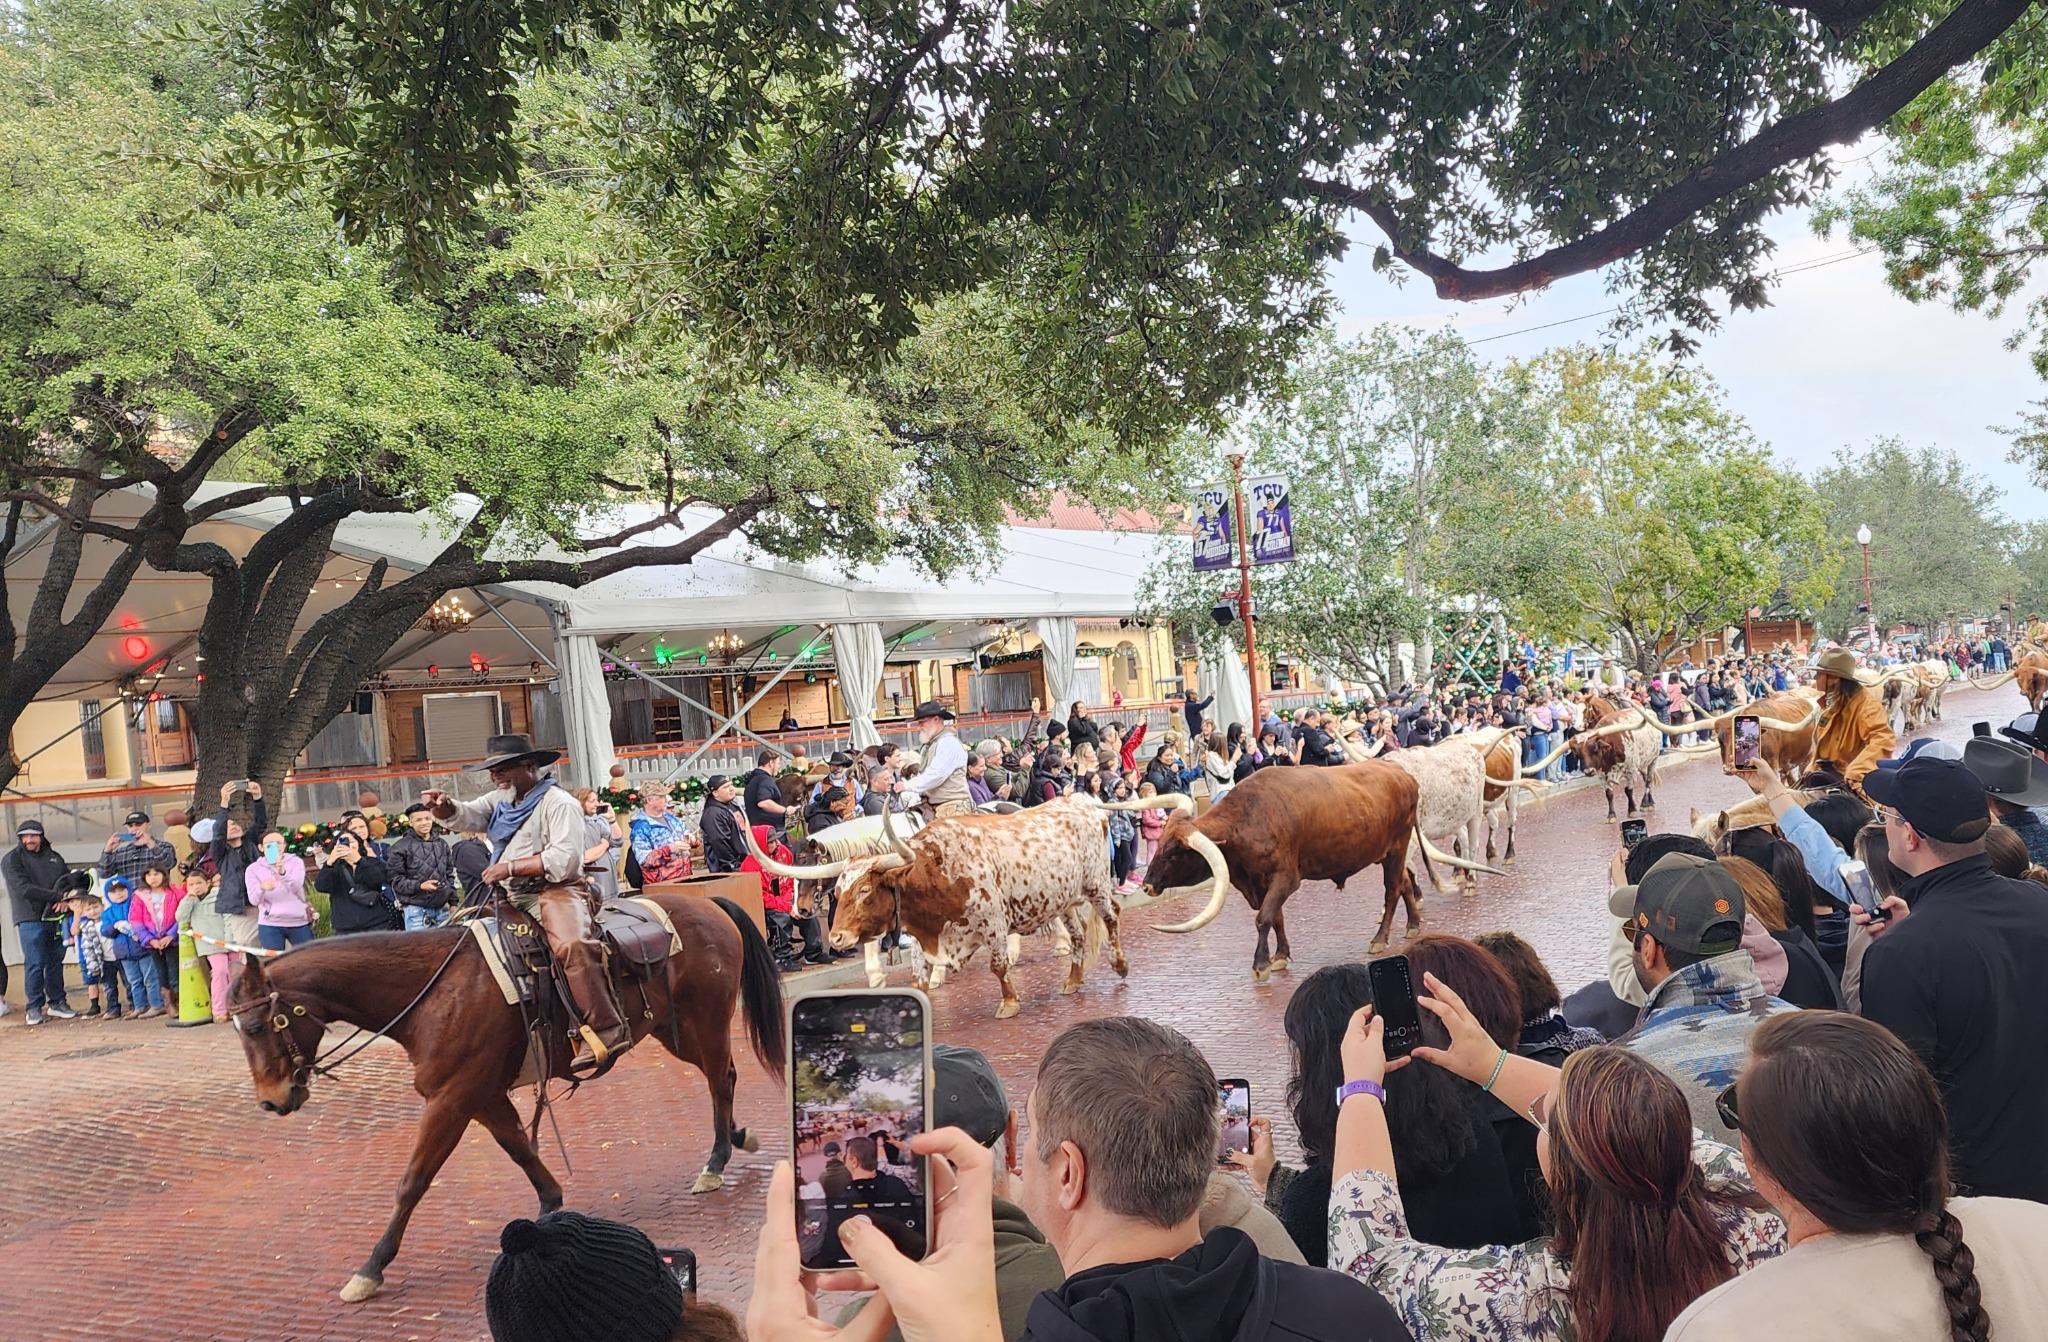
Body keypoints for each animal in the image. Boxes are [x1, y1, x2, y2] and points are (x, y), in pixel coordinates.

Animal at [228, 897, 778, 1311]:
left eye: (255, 1026)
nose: (271, 1102)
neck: (434, 993)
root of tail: (709, 904)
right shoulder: (482, 1096)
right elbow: (520, 1148)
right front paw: (550, 1204)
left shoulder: (452, 1100)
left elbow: (413, 1182)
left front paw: (370, 1269)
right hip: (672, 1029)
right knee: (722, 1078)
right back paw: (737, 1138)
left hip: (706, 1020)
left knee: (720, 1080)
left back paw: (715, 1163)